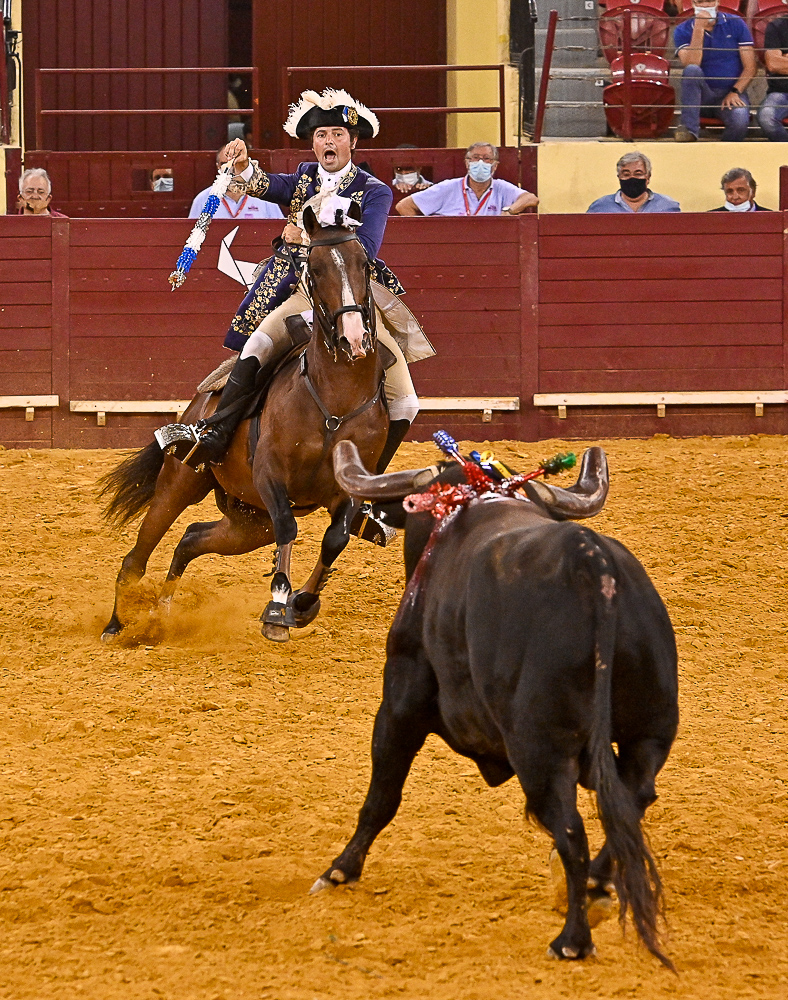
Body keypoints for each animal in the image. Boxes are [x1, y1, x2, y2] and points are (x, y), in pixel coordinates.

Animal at [99, 204, 403, 643]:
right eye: (314, 268)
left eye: (364, 264)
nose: (353, 338)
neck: (334, 400)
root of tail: (200, 402)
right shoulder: (270, 473)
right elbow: (289, 529)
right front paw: (277, 608)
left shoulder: (345, 490)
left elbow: (335, 539)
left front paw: (301, 604)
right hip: (181, 484)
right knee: (136, 557)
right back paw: (116, 625)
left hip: (248, 520)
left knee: (191, 538)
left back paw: (161, 613)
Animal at [310, 442, 679, 967]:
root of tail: (594, 568)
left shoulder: (399, 704)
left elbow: (382, 795)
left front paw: (341, 868)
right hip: (649, 732)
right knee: (632, 800)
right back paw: (597, 885)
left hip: (539, 752)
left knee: (571, 831)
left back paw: (572, 937)